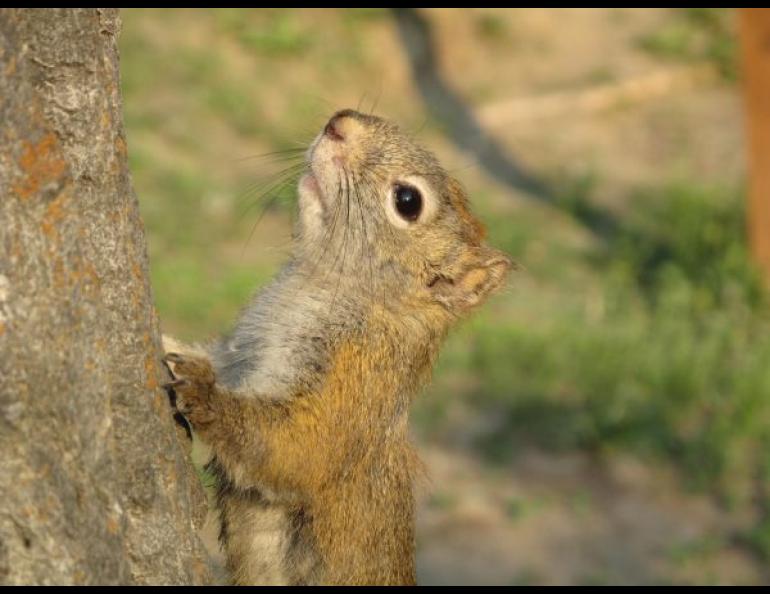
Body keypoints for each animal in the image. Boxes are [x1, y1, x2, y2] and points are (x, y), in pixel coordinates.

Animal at [161, 107, 510, 584]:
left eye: (408, 201)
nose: (339, 122)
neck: (319, 282)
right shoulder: (241, 351)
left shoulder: (354, 382)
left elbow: (295, 447)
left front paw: (203, 394)